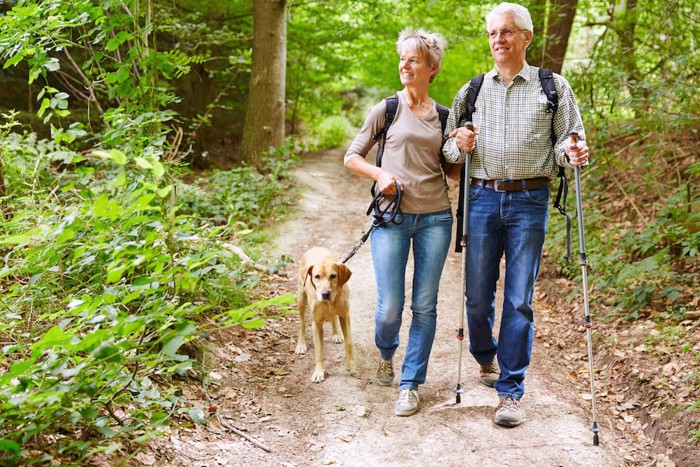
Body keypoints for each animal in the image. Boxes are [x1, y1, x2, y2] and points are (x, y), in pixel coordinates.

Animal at [294, 247, 352, 382]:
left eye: (333, 276)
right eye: (317, 276)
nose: (325, 294)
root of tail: (315, 247)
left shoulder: (345, 315)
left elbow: (349, 343)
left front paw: (350, 364)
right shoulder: (316, 324)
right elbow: (319, 351)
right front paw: (319, 372)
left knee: (334, 319)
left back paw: (336, 334)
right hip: (301, 300)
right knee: (302, 324)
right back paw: (301, 344)